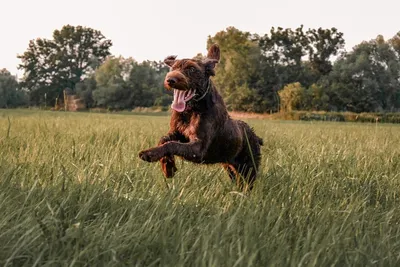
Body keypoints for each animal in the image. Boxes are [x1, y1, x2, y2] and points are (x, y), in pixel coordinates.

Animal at [139, 44, 264, 191]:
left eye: (192, 69)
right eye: (173, 68)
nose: (170, 80)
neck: (191, 110)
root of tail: (256, 136)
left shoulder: (199, 149)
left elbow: (172, 144)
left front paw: (150, 154)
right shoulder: (177, 133)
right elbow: (164, 140)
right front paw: (168, 167)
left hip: (249, 168)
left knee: (247, 184)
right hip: (229, 166)